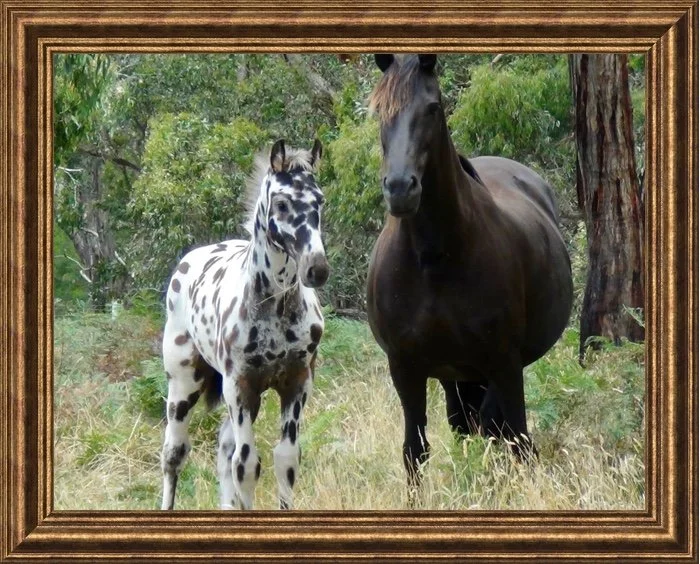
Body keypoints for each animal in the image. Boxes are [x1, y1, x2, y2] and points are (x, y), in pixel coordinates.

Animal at [160, 139, 329, 510]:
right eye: (281, 203)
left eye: (320, 200)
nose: (317, 269)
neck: (275, 310)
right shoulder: (240, 384)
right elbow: (247, 465)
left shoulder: (297, 383)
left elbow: (286, 459)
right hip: (184, 382)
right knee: (174, 454)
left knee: (224, 450)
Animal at [366, 54, 573, 493]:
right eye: (379, 111)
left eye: (432, 108)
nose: (400, 188)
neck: (434, 261)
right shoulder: (405, 368)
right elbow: (415, 452)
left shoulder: (504, 363)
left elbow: (515, 438)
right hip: (453, 376)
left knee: (497, 430)